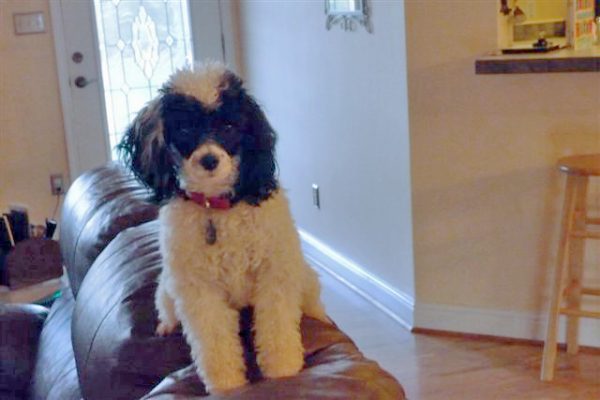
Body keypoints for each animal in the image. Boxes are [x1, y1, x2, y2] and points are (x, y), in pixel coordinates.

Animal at [119, 62, 328, 394]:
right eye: (185, 129)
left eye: (229, 127)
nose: (208, 160)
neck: (216, 209)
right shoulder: (200, 292)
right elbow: (215, 344)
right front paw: (228, 386)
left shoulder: (274, 276)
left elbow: (277, 330)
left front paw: (284, 374)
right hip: (168, 287)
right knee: (165, 305)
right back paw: (167, 324)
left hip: (303, 277)